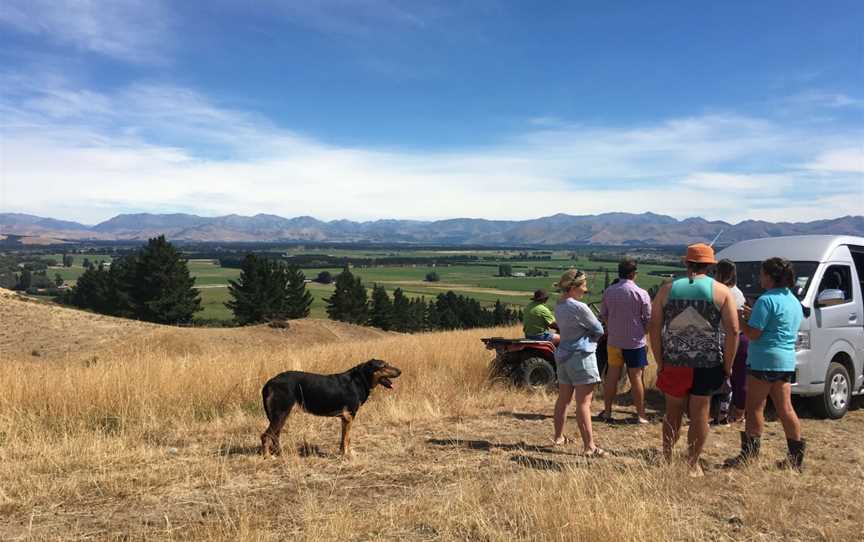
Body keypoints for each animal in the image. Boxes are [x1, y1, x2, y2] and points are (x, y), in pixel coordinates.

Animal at [258, 362, 404, 460]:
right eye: (383, 366)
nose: (400, 371)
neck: (360, 380)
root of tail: (269, 383)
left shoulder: (345, 418)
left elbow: (344, 438)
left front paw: (344, 453)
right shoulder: (349, 416)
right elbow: (347, 439)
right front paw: (347, 455)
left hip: (281, 415)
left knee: (275, 435)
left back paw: (280, 453)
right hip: (280, 414)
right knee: (265, 436)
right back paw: (268, 457)